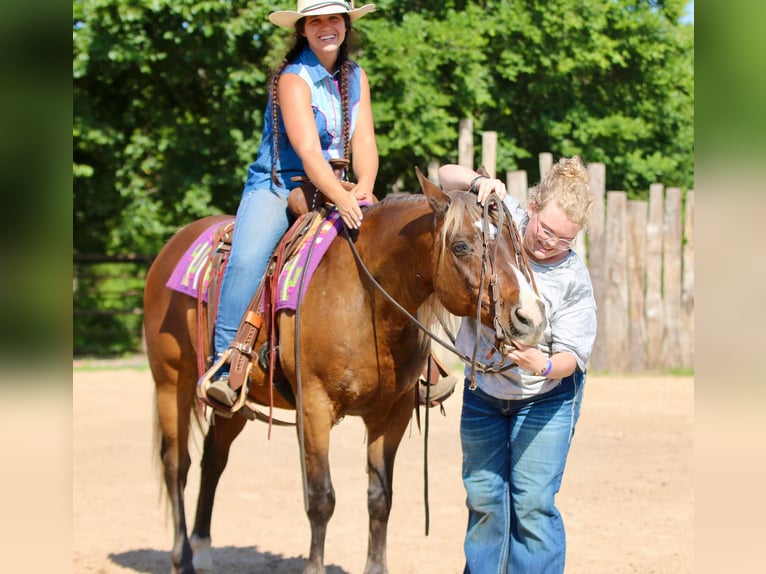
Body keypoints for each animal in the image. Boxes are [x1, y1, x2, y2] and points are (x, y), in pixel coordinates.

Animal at [143, 168, 547, 574]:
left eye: (513, 243)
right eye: (461, 246)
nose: (529, 318)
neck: (364, 297)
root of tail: (173, 246)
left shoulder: (394, 412)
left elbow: (380, 498)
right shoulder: (314, 408)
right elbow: (321, 498)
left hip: (235, 404)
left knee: (213, 459)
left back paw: (203, 551)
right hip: (171, 383)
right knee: (177, 465)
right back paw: (183, 557)